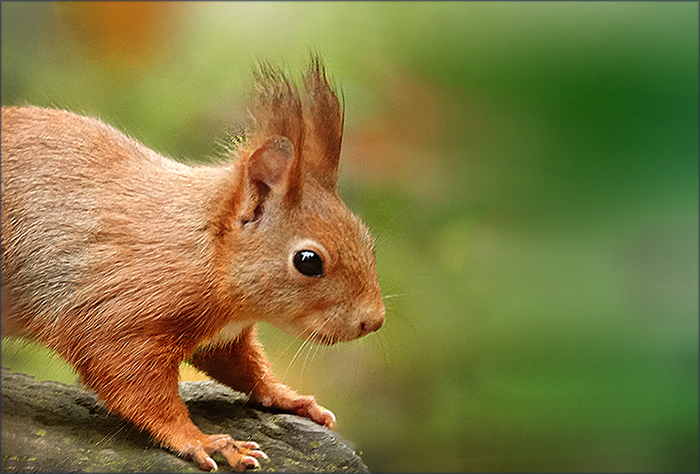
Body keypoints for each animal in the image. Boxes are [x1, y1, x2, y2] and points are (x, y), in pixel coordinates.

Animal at [0, 57, 385, 472]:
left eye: (367, 239)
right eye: (308, 261)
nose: (374, 320)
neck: (208, 253)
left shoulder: (221, 336)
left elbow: (242, 367)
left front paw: (290, 397)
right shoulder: (117, 315)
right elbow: (133, 385)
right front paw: (204, 441)